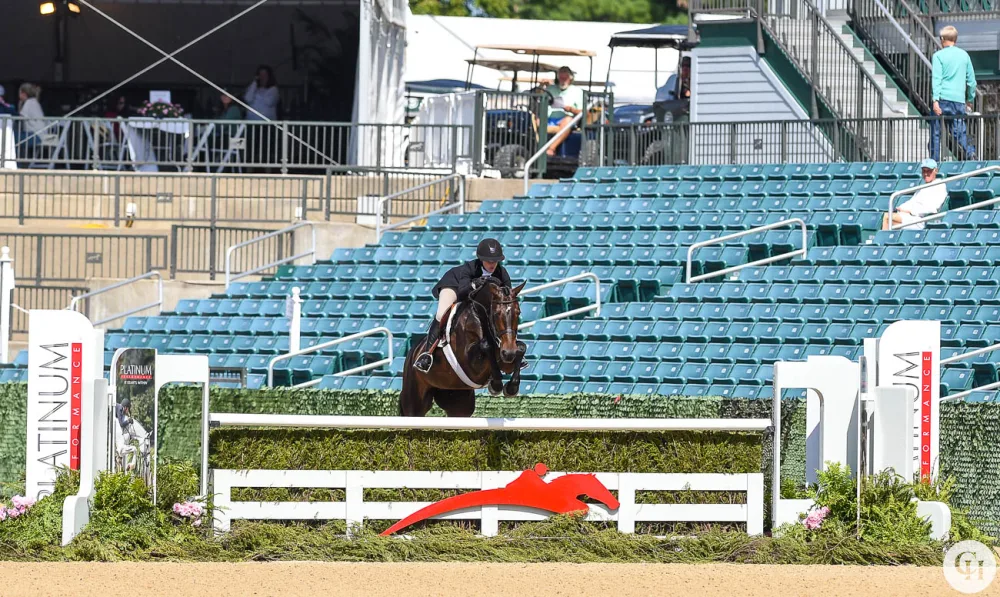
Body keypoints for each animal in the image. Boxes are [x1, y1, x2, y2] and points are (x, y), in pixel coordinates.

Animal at [399, 279, 527, 417]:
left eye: (518, 312)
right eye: (497, 313)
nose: (509, 353)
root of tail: (413, 352)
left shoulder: (504, 358)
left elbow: (521, 347)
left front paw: (511, 388)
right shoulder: (470, 365)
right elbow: (486, 345)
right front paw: (496, 385)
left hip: (458, 402)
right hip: (414, 401)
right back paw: (424, 361)